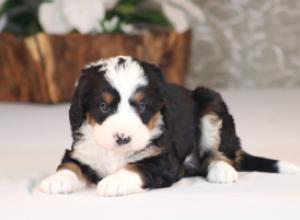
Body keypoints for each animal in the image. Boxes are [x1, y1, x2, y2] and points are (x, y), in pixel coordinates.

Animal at [38, 55, 298, 197]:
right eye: (103, 106)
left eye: (142, 107)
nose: (122, 138)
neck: (116, 153)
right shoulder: (83, 151)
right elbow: (71, 164)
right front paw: (56, 179)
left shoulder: (164, 160)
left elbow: (137, 167)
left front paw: (115, 181)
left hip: (210, 103)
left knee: (220, 153)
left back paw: (221, 171)